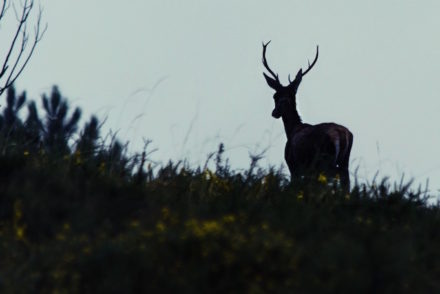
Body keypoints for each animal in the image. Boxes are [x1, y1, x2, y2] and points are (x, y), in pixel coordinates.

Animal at [262, 42, 354, 191]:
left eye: (274, 96)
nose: (274, 113)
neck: (292, 130)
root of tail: (343, 134)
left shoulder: (293, 166)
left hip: (325, 161)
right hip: (344, 161)